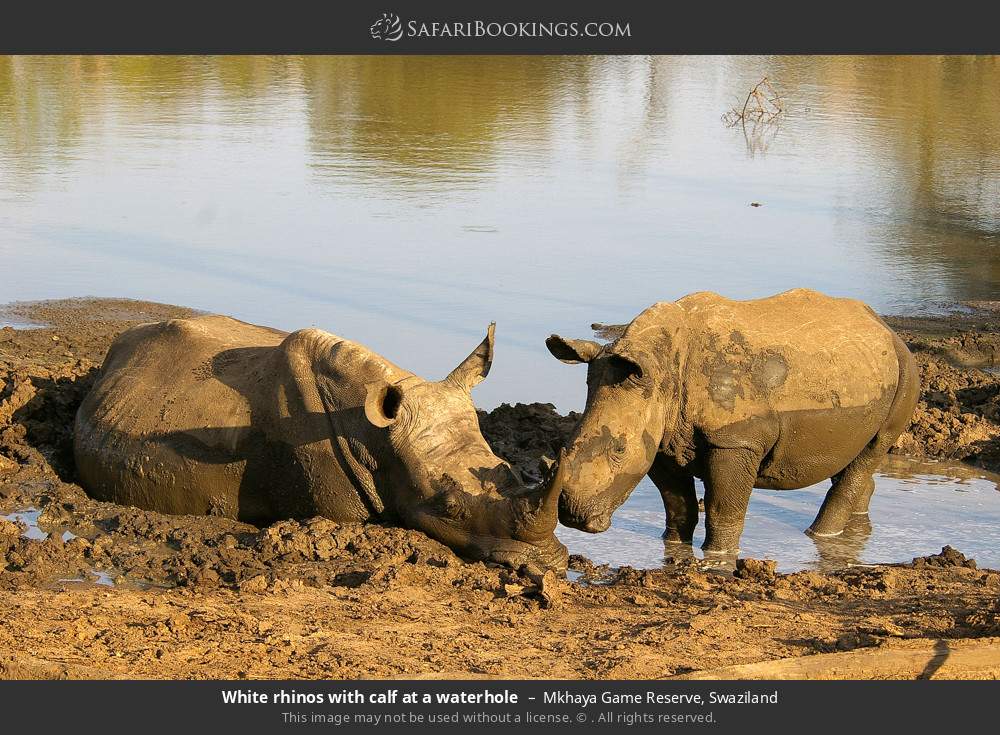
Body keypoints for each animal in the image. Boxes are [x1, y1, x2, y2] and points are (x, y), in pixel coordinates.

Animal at [545, 289, 920, 553]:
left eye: (619, 450)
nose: (571, 514)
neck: (659, 367)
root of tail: (886, 328)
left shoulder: (736, 439)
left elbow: (723, 507)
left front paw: (718, 556)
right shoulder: (661, 439)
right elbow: (677, 505)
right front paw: (675, 548)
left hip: (906, 373)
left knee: (873, 448)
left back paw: (819, 535)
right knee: (854, 458)